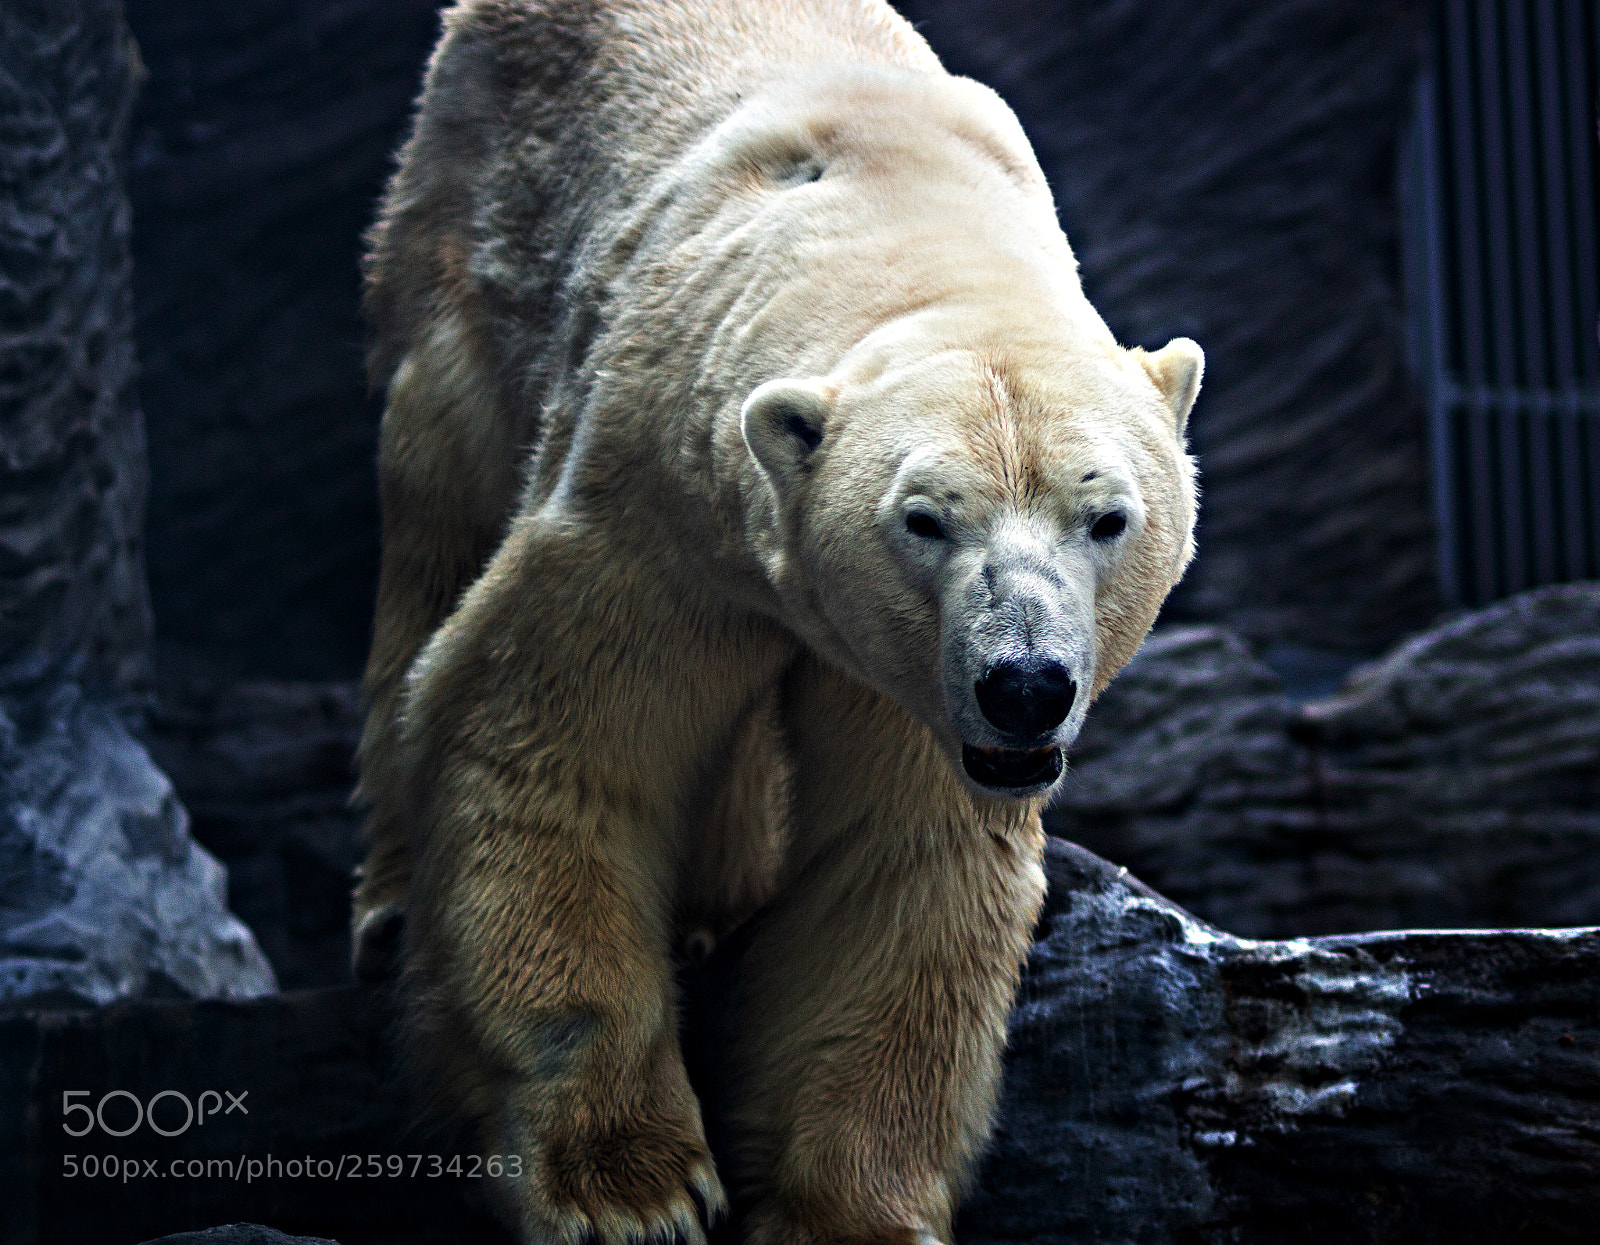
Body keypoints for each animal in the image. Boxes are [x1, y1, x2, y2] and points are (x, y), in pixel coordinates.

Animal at [350, 1, 1202, 1242]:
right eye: (922, 519)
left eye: (1106, 517)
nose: (1025, 685)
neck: (915, 225)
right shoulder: (655, 506)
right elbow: (555, 740)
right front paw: (628, 1188)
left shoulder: (915, 685)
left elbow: (897, 858)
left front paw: (847, 1211)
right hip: (458, 237)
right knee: (437, 506)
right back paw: (386, 904)